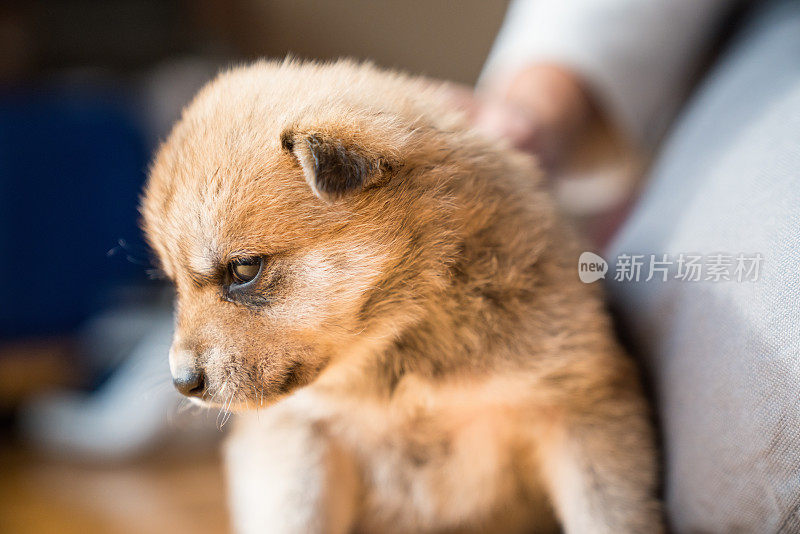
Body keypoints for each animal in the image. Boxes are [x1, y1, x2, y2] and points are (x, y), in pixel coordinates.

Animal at [139, 59, 664, 534]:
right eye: (174, 282)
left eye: (245, 269)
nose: (182, 383)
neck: (403, 343)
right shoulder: (298, 441)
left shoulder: (580, 408)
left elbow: (609, 516)